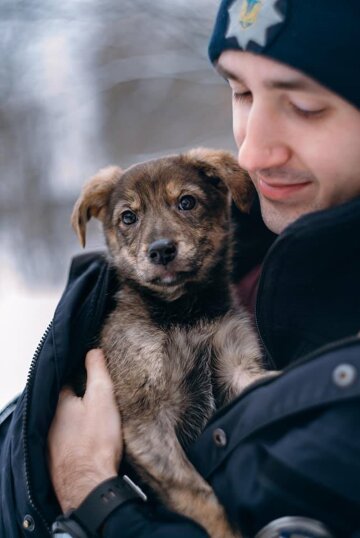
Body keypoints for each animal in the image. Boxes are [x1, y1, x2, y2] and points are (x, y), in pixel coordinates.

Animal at [71, 148, 266, 536]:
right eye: (128, 217)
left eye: (186, 202)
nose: (161, 251)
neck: (184, 313)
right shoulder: (146, 419)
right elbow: (196, 492)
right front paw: (226, 530)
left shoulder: (237, 365)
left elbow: (267, 381)